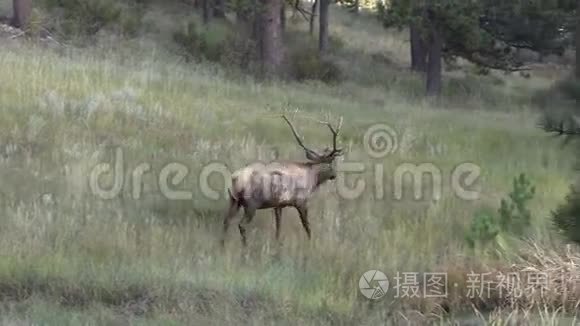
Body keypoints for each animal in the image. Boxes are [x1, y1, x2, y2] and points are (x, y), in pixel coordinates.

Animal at [221, 114, 340, 247]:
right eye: (331, 164)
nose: (334, 175)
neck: (313, 178)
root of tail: (234, 179)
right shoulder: (301, 201)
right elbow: (307, 226)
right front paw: (311, 243)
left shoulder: (278, 205)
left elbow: (278, 227)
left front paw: (277, 242)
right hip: (251, 204)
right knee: (241, 225)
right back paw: (245, 247)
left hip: (234, 201)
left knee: (226, 221)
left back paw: (222, 244)